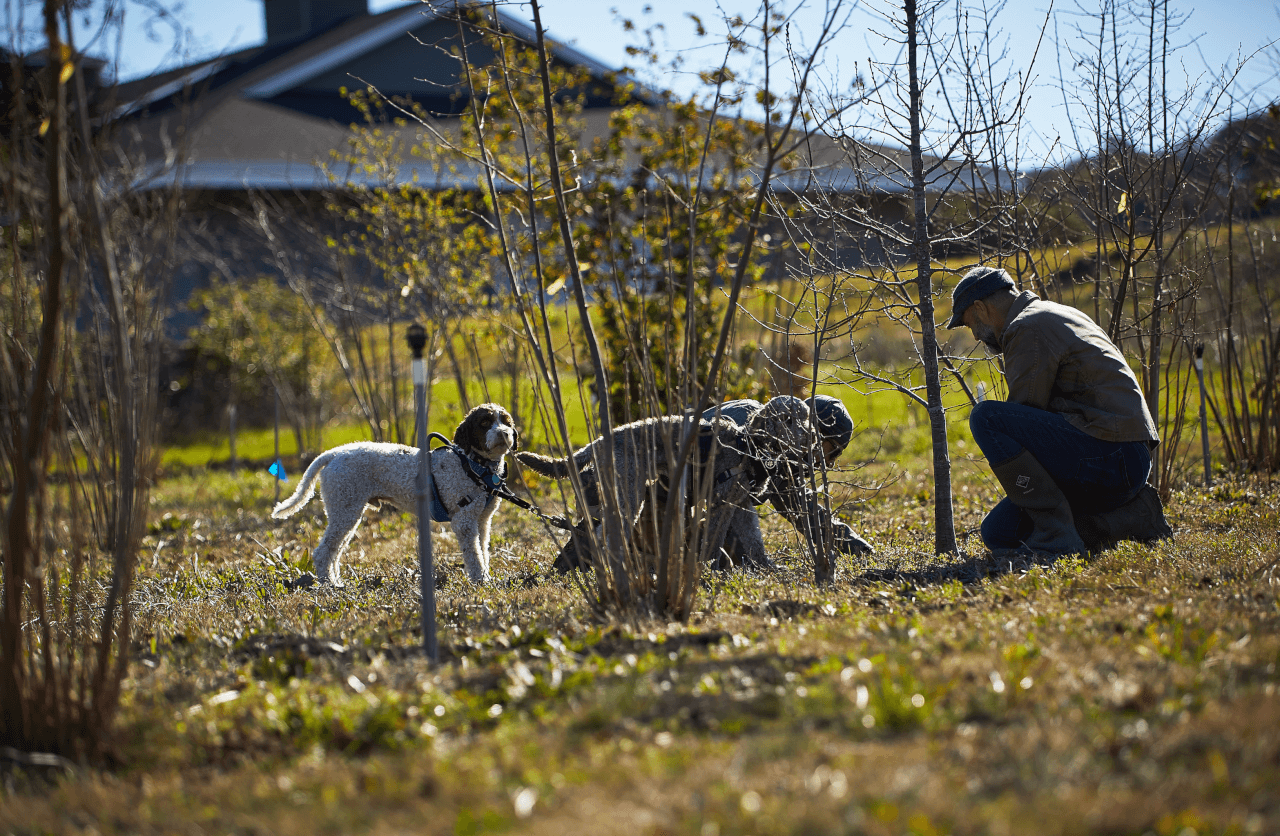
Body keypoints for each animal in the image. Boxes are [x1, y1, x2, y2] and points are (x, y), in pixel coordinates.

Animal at [272, 404, 522, 586]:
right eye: (485, 422)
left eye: (506, 422)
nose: (505, 434)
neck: (474, 466)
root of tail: (333, 454)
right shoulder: (464, 522)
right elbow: (474, 556)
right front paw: (480, 581)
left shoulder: (482, 521)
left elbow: (483, 552)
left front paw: (486, 577)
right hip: (345, 509)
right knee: (323, 552)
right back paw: (328, 585)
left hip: (346, 512)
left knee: (334, 550)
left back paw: (336, 581)